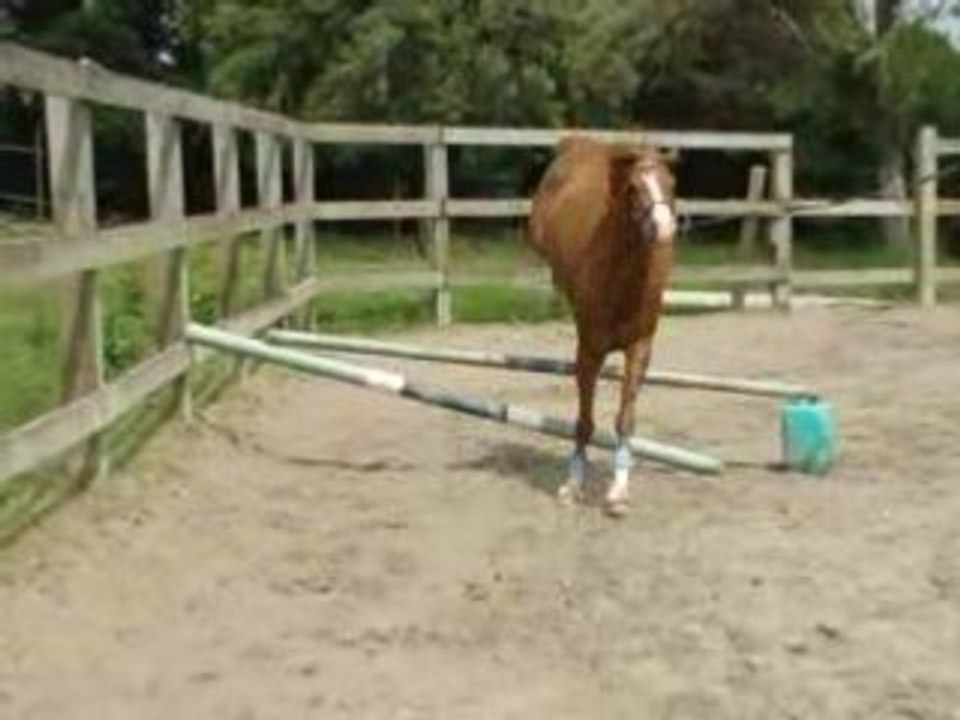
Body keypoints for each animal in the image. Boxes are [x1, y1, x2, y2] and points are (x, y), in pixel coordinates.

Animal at [528, 136, 677, 516]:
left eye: (671, 184)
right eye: (634, 188)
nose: (664, 228)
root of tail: (576, 142)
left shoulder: (639, 348)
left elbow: (625, 419)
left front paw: (618, 493)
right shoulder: (589, 351)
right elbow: (584, 422)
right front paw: (573, 486)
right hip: (537, 233)